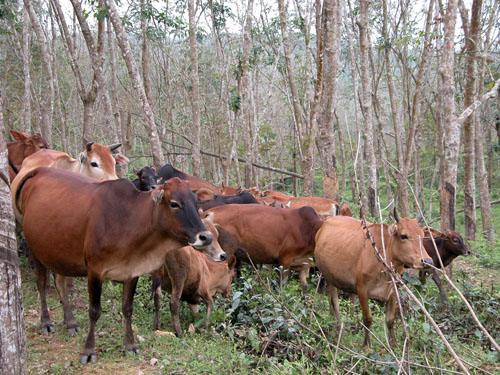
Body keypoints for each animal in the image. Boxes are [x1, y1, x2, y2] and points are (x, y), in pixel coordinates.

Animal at [15, 169, 215, 366]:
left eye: (196, 202)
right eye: (174, 203)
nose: (206, 237)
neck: (128, 220)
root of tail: (40, 171)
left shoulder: (132, 271)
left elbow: (127, 308)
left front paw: (130, 345)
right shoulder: (95, 271)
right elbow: (94, 311)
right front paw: (89, 350)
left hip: (59, 254)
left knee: (61, 284)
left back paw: (71, 322)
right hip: (36, 249)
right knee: (42, 285)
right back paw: (46, 323)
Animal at [314, 213, 432, 348]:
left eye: (422, 235)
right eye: (404, 236)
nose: (427, 261)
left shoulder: (393, 292)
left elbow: (390, 320)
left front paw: (393, 345)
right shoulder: (362, 290)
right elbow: (368, 319)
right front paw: (367, 345)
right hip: (328, 276)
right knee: (334, 302)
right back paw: (339, 328)